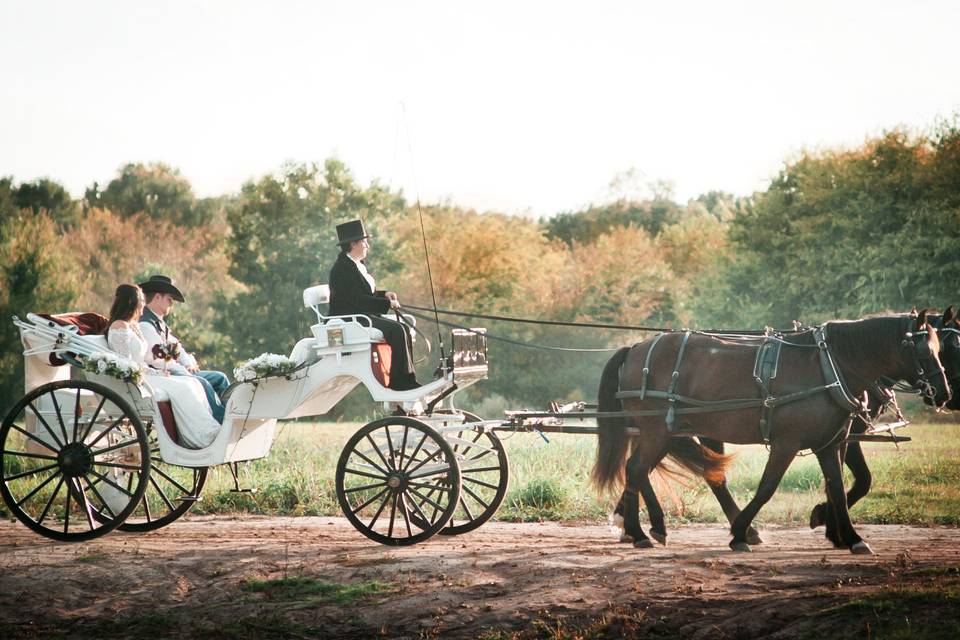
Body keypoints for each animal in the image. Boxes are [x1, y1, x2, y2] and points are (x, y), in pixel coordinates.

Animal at [592, 312, 952, 552]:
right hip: (657, 431)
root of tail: (634, 348)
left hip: (668, 432)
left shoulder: (830, 443)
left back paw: (642, 528)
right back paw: (642, 532)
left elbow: (837, 488)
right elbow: (768, 487)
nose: (944, 393)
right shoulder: (787, 442)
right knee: (637, 469)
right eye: (924, 350)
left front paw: (850, 537)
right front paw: (739, 533)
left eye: (940, 347)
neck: (828, 366)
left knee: (640, 471)